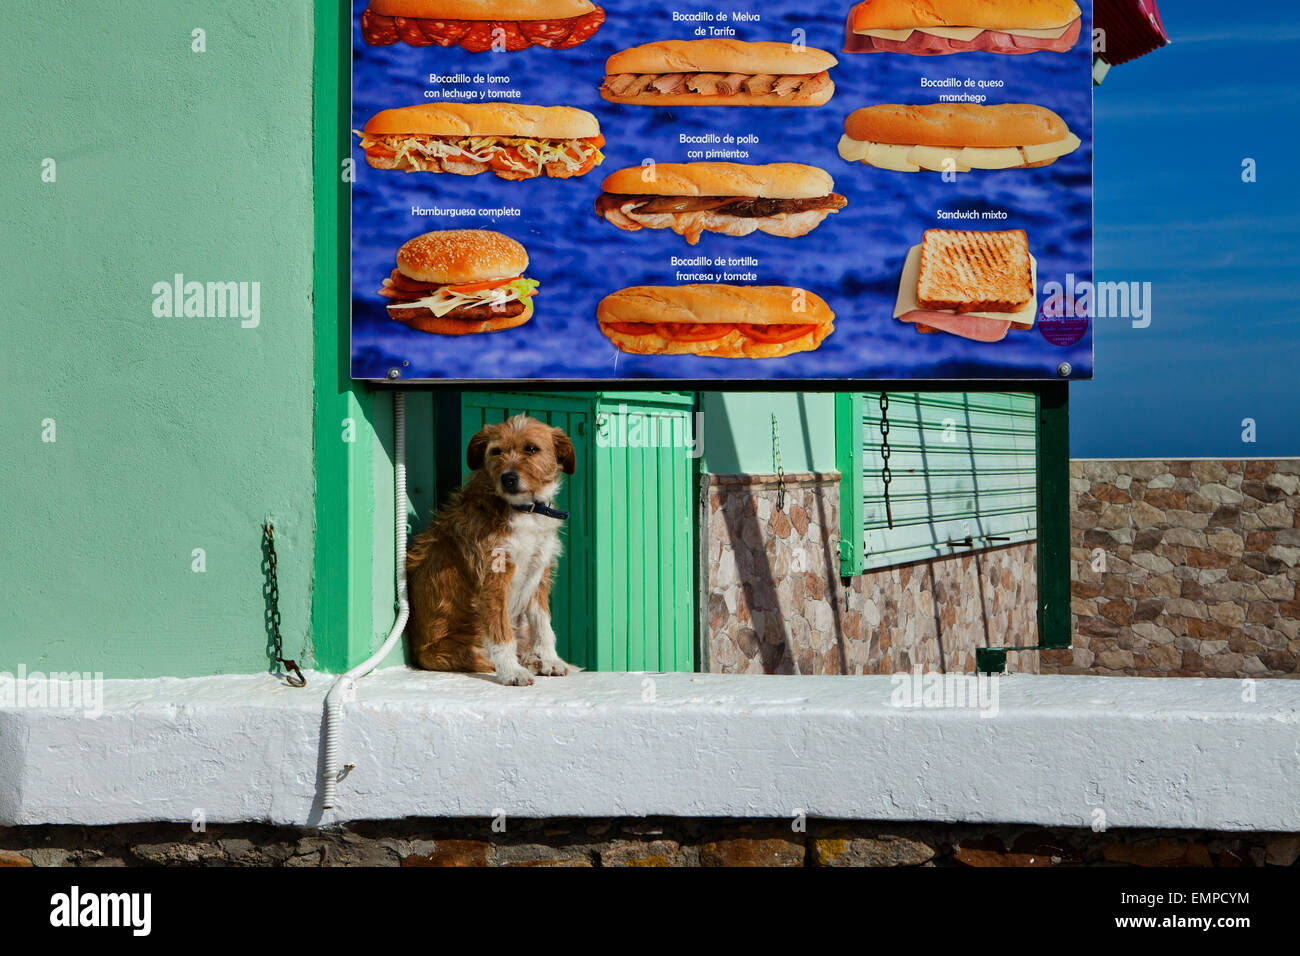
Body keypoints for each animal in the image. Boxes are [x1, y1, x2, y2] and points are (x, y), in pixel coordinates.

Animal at [408, 416, 577, 686]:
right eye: (496, 451)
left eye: (531, 449)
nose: (508, 478)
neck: (525, 510)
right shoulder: (493, 577)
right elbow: (501, 634)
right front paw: (512, 673)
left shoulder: (539, 574)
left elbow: (543, 624)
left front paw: (551, 660)